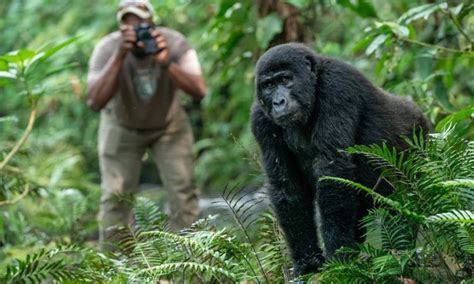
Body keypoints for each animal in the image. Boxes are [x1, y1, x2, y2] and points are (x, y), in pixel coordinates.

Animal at [252, 43, 430, 276]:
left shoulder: (337, 85)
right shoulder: (260, 118)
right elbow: (287, 187)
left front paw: (338, 258)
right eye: (269, 85)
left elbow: (333, 170)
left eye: (285, 79)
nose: (278, 102)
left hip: (419, 141)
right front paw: (307, 261)